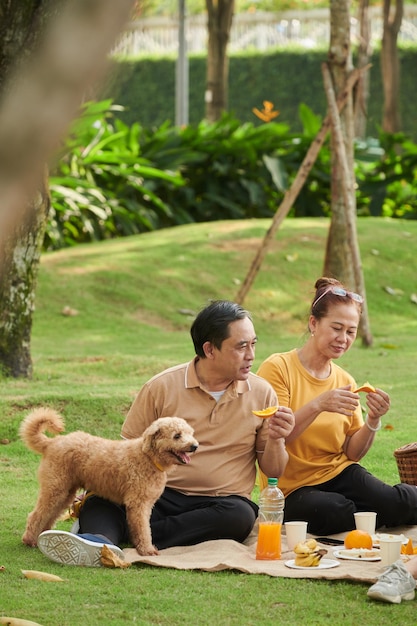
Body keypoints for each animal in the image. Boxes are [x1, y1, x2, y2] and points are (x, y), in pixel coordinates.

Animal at [20, 408, 199, 552]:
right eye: (177, 436)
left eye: (190, 433)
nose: (195, 446)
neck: (148, 457)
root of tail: (51, 442)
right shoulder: (138, 504)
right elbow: (143, 530)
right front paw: (148, 550)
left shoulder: (145, 505)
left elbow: (144, 529)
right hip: (55, 487)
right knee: (36, 514)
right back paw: (30, 540)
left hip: (65, 491)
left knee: (50, 514)